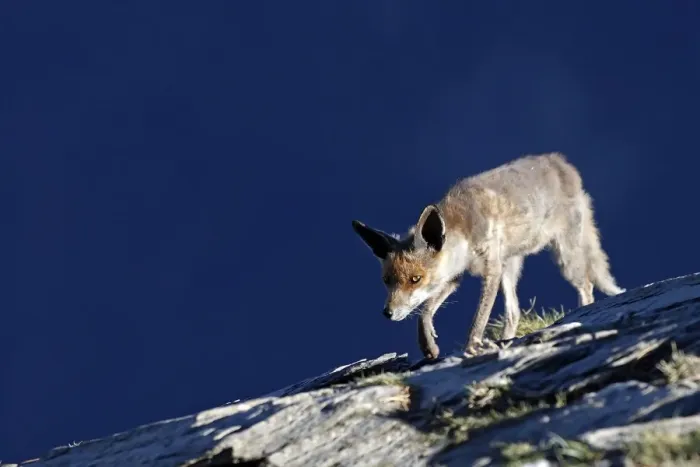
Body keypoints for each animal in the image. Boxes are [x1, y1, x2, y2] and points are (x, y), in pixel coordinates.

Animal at [351, 152, 625, 360]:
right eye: (387, 281)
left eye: (415, 279)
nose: (387, 313)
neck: (465, 228)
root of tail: (561, 162)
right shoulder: (454, 276)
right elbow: (425, 311)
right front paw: (428, 344)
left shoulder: (490, 269)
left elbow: (479, 317)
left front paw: (472, 345)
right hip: (510, 268)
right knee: (514, 312)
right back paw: (506, 340)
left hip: (563, 259)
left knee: (587, 286)